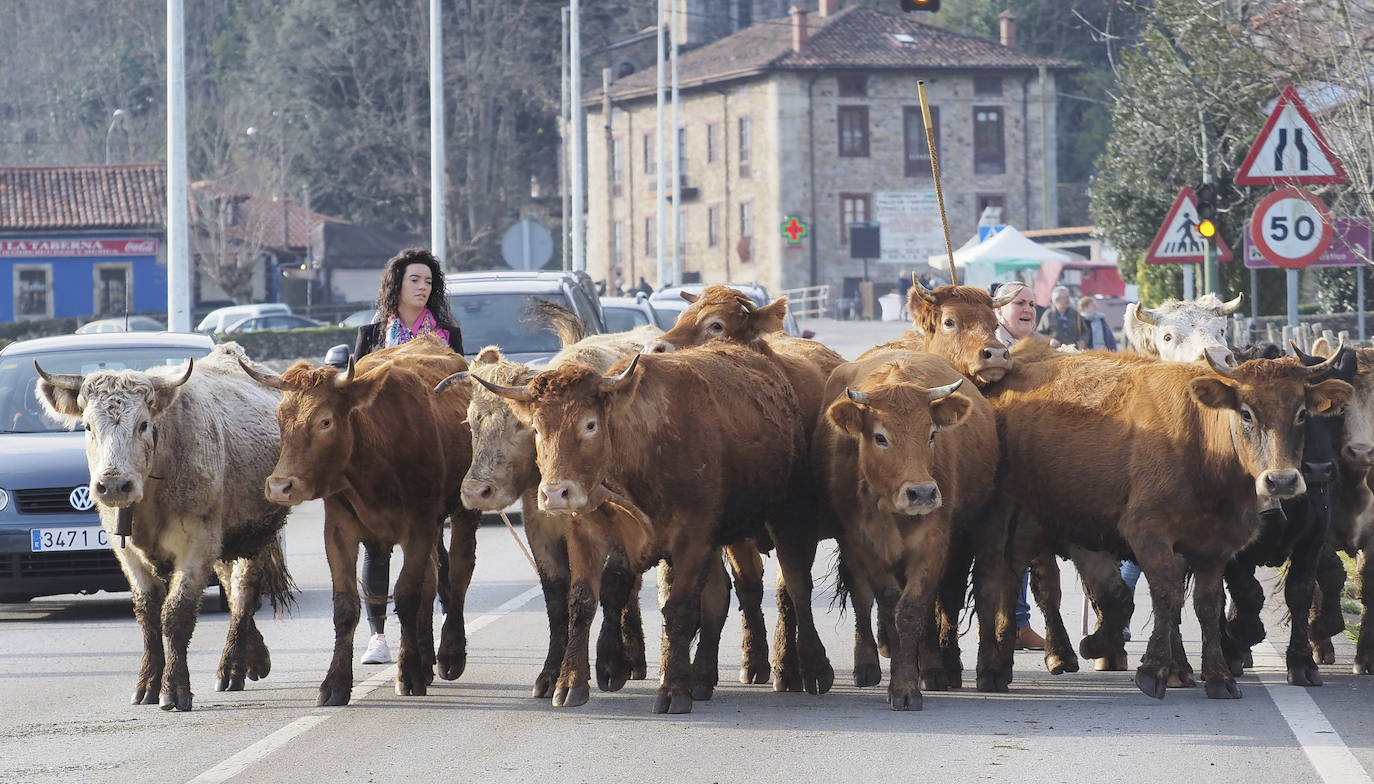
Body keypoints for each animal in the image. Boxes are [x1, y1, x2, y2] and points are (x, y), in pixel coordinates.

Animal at [34, 343, 292, 713]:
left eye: (143, 424)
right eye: (87, 426)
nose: (114, 485)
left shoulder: (196, 543)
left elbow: (176, 612)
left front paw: (174, 689)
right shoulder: (128, 552)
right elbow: (148, 613)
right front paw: (147, 685)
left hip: (255, 534)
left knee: (243, 594)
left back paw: (230, 667)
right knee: (231, 590)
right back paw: (253, 659)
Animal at [241, 336, 483, 702]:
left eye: (325, 421)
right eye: (280, 417)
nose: (280, 486)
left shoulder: (419, 526)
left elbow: (406, 595)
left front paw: (408, 673)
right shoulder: (339, 530)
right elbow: (347, 606)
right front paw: (336, 683)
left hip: (465, 507)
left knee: (458, 572)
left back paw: (449, 654)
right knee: (431, 577)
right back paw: (426, 658)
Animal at [478, 341, 829, 713]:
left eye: (590, 425)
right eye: (536, 429)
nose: (555, 493)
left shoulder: (693, 537)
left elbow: (678, 608)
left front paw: (672, 689)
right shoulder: (587, 532)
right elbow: (583, 602)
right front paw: (572, 681)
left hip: (787, 518)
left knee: (796, 587)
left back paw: (810, 669)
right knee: (719, 596)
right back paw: (701, 677)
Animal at [813, 351, 1000, 708]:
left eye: (932, 433)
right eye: (880, 437)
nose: (923, 493)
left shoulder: (933, 542)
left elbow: (913, 609)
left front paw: (910, 684)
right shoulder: (864, 542)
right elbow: (886, 605)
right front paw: (899, 682)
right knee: (861, 598)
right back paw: (867, 665)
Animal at [989, 343, 1352, 700]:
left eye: (1302, 413)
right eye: (1246, 413)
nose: (1282, 481)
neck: (1203, 449)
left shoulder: (1217, 546)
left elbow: (1207, 604)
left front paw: (1218, 676)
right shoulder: (1149, 532)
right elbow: (1167, 595)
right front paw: (1153, 671)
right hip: (1022, 525)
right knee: (1026, 583)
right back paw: (1017, 661)